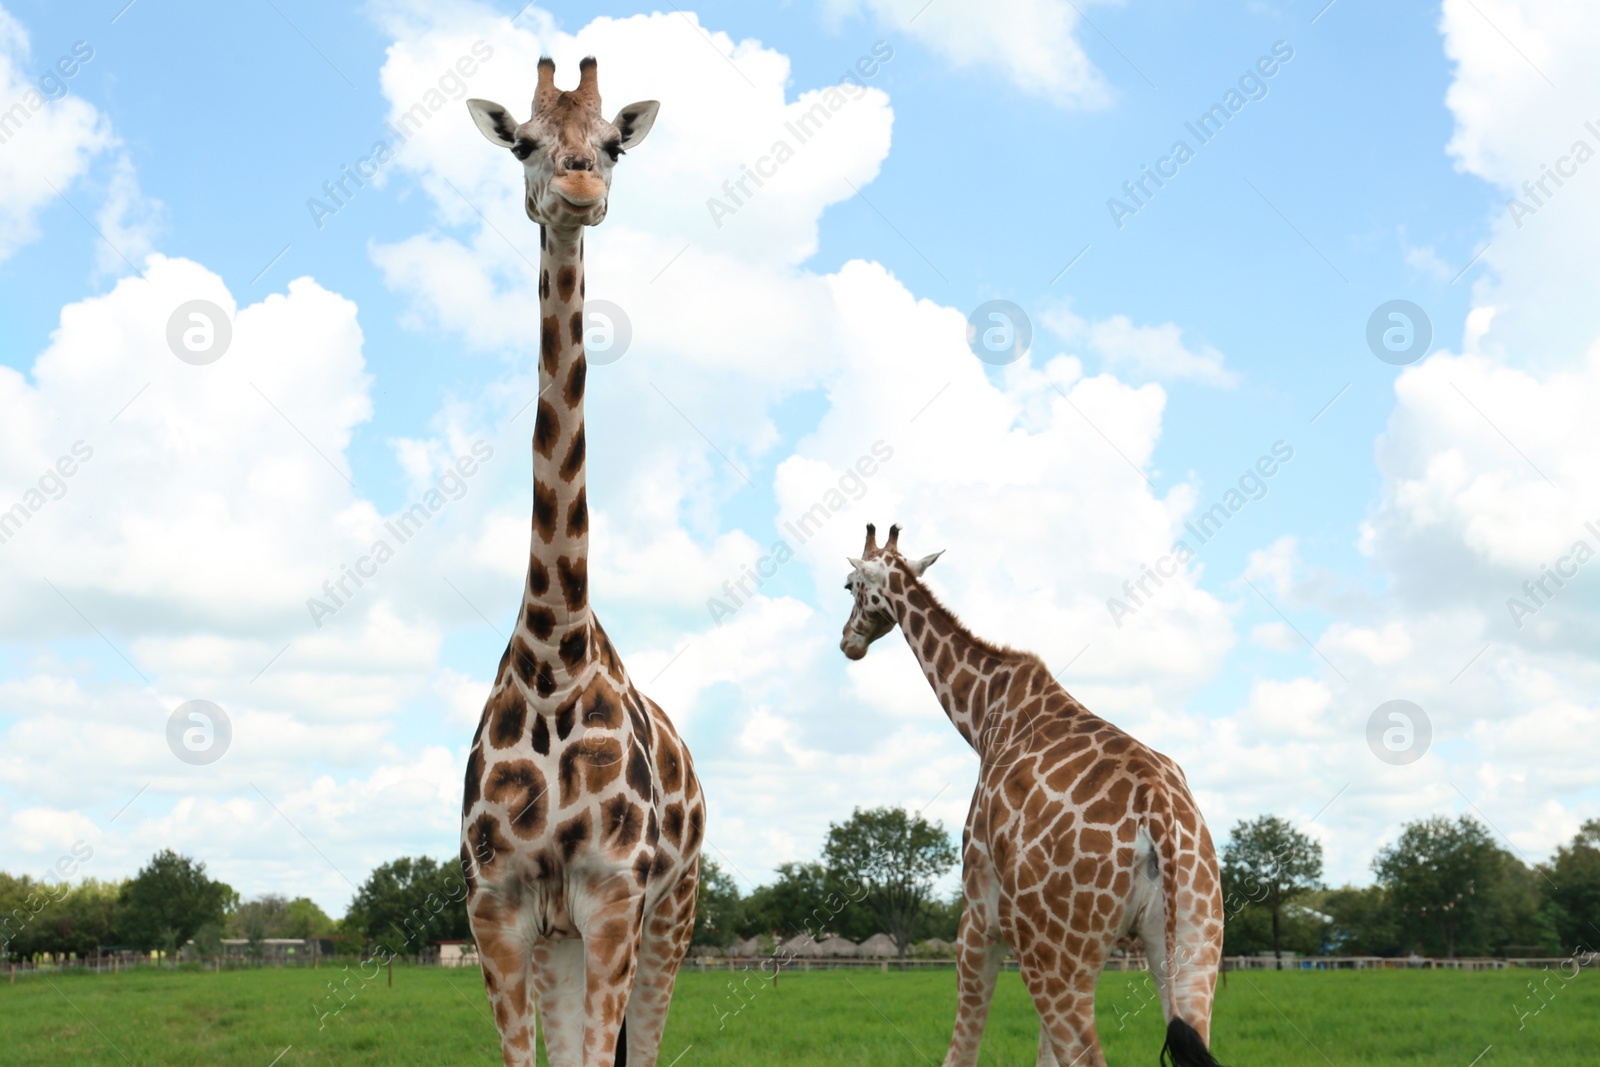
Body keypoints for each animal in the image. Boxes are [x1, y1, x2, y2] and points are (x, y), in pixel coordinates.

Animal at [838, 524, 1222, 1067]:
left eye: (850, 585)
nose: (848, 642)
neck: (983, 716)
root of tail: (1160, 814)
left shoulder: (980, 915)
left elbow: (962, 1050)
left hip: (1059, 957)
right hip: (1191, 940)